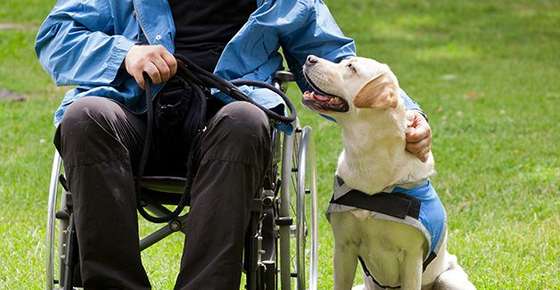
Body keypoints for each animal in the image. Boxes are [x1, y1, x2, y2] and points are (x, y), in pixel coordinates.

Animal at [304, 55, 474, 290]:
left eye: (351, 68)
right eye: (344, 61)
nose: (309, 58)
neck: (367, 156)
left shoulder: (411, 257)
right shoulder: (344, 247)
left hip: (449, 279)